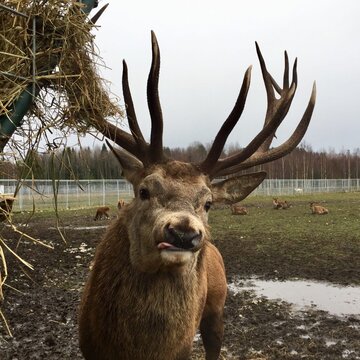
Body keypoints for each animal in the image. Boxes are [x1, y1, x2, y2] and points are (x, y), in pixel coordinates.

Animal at [79, 31, 316, 360]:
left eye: (208, 203)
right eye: (143, 191)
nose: (183, 232)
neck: (139, 350)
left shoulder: (181, 347)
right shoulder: (89, 345)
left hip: (217, 305)